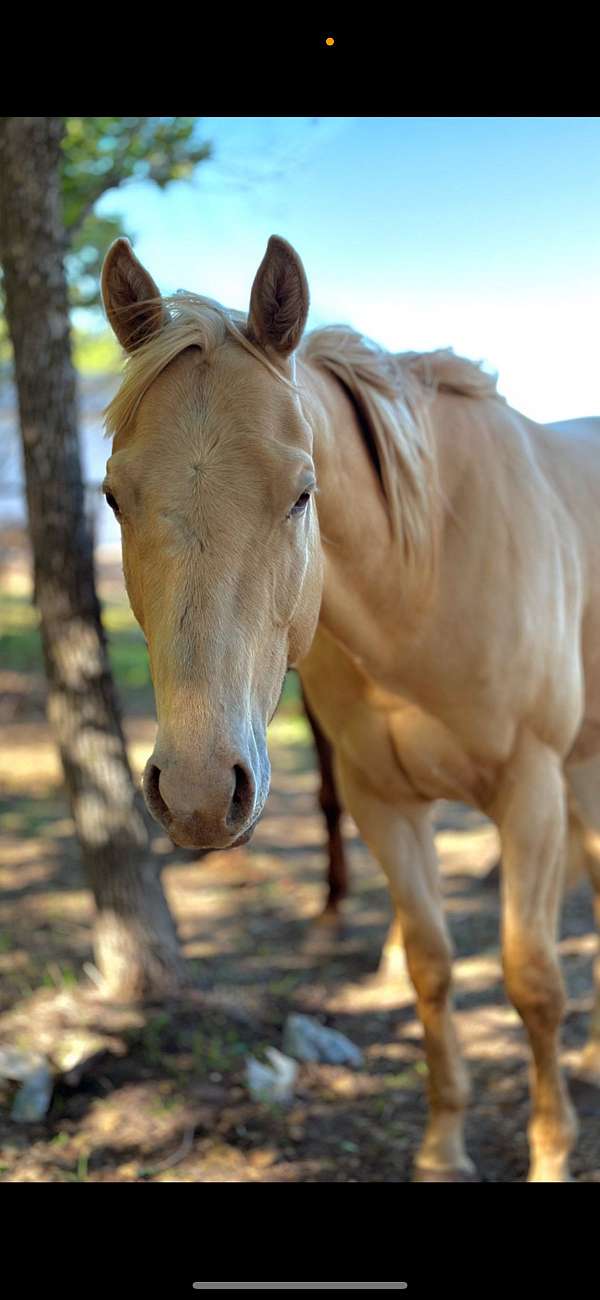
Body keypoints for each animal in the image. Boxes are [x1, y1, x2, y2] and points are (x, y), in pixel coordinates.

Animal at [100, 231, 600, 1180]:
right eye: (112, 495)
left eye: (303, 491)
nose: (196, 792)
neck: (429, 571)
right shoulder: (380, 801)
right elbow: (431, 967)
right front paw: (443, 1146)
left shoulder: (531, 791)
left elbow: (533, 980)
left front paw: (552, 1153)